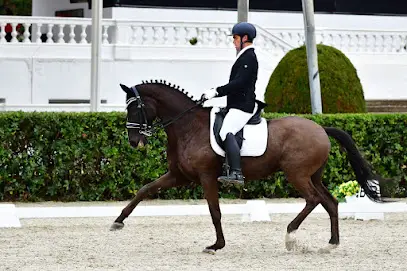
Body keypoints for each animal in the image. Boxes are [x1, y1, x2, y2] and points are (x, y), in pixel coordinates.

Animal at [111, 79, 386, 255]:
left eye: (135, 107)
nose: (134, 142)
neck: (188, 127)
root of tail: (321, 128)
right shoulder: (178, 175)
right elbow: (145, 190)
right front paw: (118, 222)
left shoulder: (206, 176)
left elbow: (214, 211)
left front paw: (216, 245)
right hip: (313, 175)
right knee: (330, 202)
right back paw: (331, 244)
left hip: (296, 174)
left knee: (313, 199)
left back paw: (290, 236)